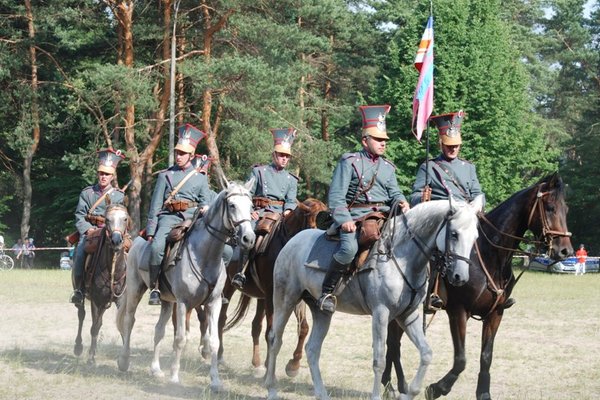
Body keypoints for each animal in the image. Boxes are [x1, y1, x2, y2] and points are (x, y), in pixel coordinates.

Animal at [73, 205, 129, 364]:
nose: (116, 241)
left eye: (125, 218)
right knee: (82, 315)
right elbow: (94, 327)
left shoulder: (121, 301)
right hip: (82, 297)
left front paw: (125, 360)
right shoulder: (96, 301)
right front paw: (91, 358)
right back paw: (78, 347)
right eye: (107, 219)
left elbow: (123, 325)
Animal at [116, 180, 254, 390]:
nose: (249, 238)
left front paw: (215, 381)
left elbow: (213, 341)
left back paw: (156, 369)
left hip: (166, 301)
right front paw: (174, 377)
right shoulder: (183, 303)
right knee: (129, 321)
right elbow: (180, 339)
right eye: (232, 205)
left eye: (251, 205)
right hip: (135, 289)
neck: (205, 255)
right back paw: (124, 361)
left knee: (159, 330)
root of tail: (138, 239)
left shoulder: (213, 303)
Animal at [264, 196, 486, 400]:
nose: (460, 277)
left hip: (321, 312)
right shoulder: (381, 313)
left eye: (475, 236)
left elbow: (426, 353)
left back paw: (321, 393)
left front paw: (411, 392)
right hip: (285, 300)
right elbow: (379, 359)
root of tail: (293, 241)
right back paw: (271, 389)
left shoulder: (408, 315)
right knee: (275, 340)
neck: (402, 257)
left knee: (312, 349)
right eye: (454, 234)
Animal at [382, 173, 576, 400]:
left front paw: (483, 392)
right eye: (550, 207)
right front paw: (437, 388)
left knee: (392, 344)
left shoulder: (496, 313)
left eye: (566, 209)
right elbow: (461, 359)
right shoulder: (458, 312)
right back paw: (394, 386)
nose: (565, 251)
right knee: (393, 344)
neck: (490, 255)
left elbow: (486, 356)